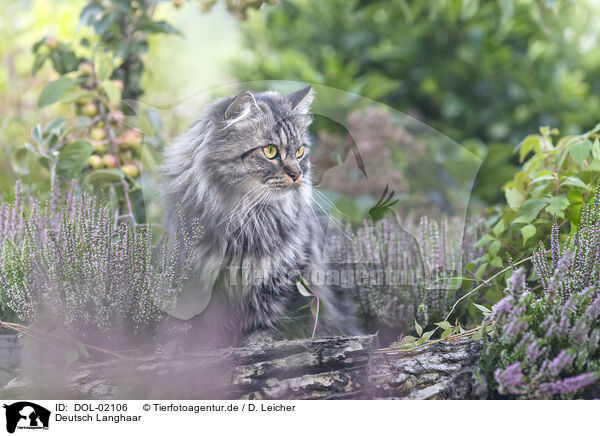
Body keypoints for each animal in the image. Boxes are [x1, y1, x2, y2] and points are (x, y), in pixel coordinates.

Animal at [158, 85, 360, 346]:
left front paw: (257, 343)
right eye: (270, 151)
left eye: (300, 151)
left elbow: (265, 319)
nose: (297, 174)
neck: (248, 217)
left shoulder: (278, 278)